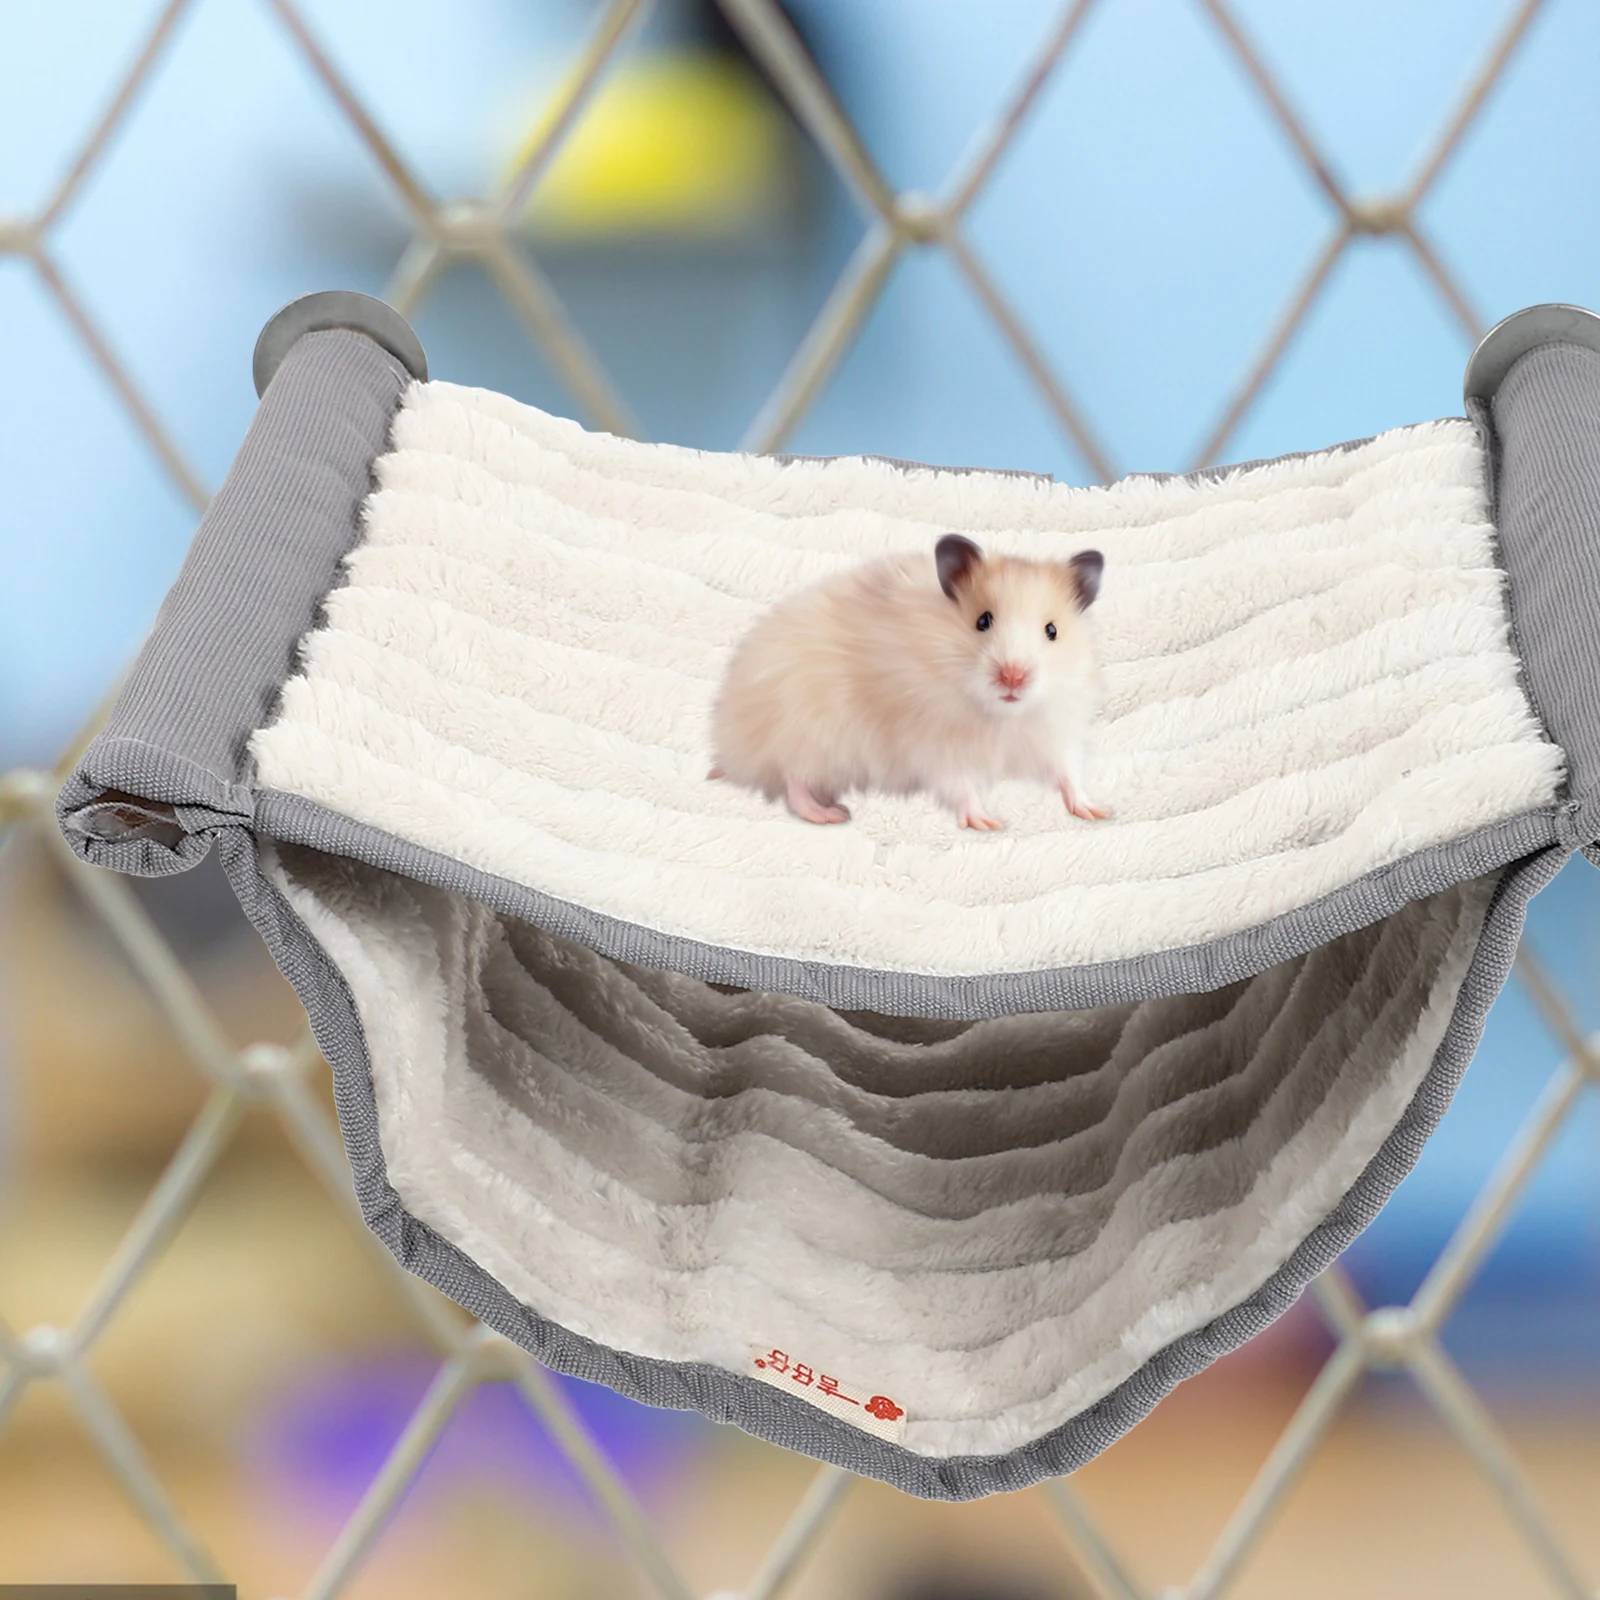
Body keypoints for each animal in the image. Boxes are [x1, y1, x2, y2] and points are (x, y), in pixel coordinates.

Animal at [709, 533, 1109, 830]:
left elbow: (1068, 774)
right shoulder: (936, 745)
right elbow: (961, 786)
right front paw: (989, 823)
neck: (1000, 715)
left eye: (1052, 631)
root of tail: (732, 746)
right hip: (808, 732)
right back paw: (831, 814)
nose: (1013, 676)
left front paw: (1097, 811)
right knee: (793, 781)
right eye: (982, 621)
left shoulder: (1051, 734)